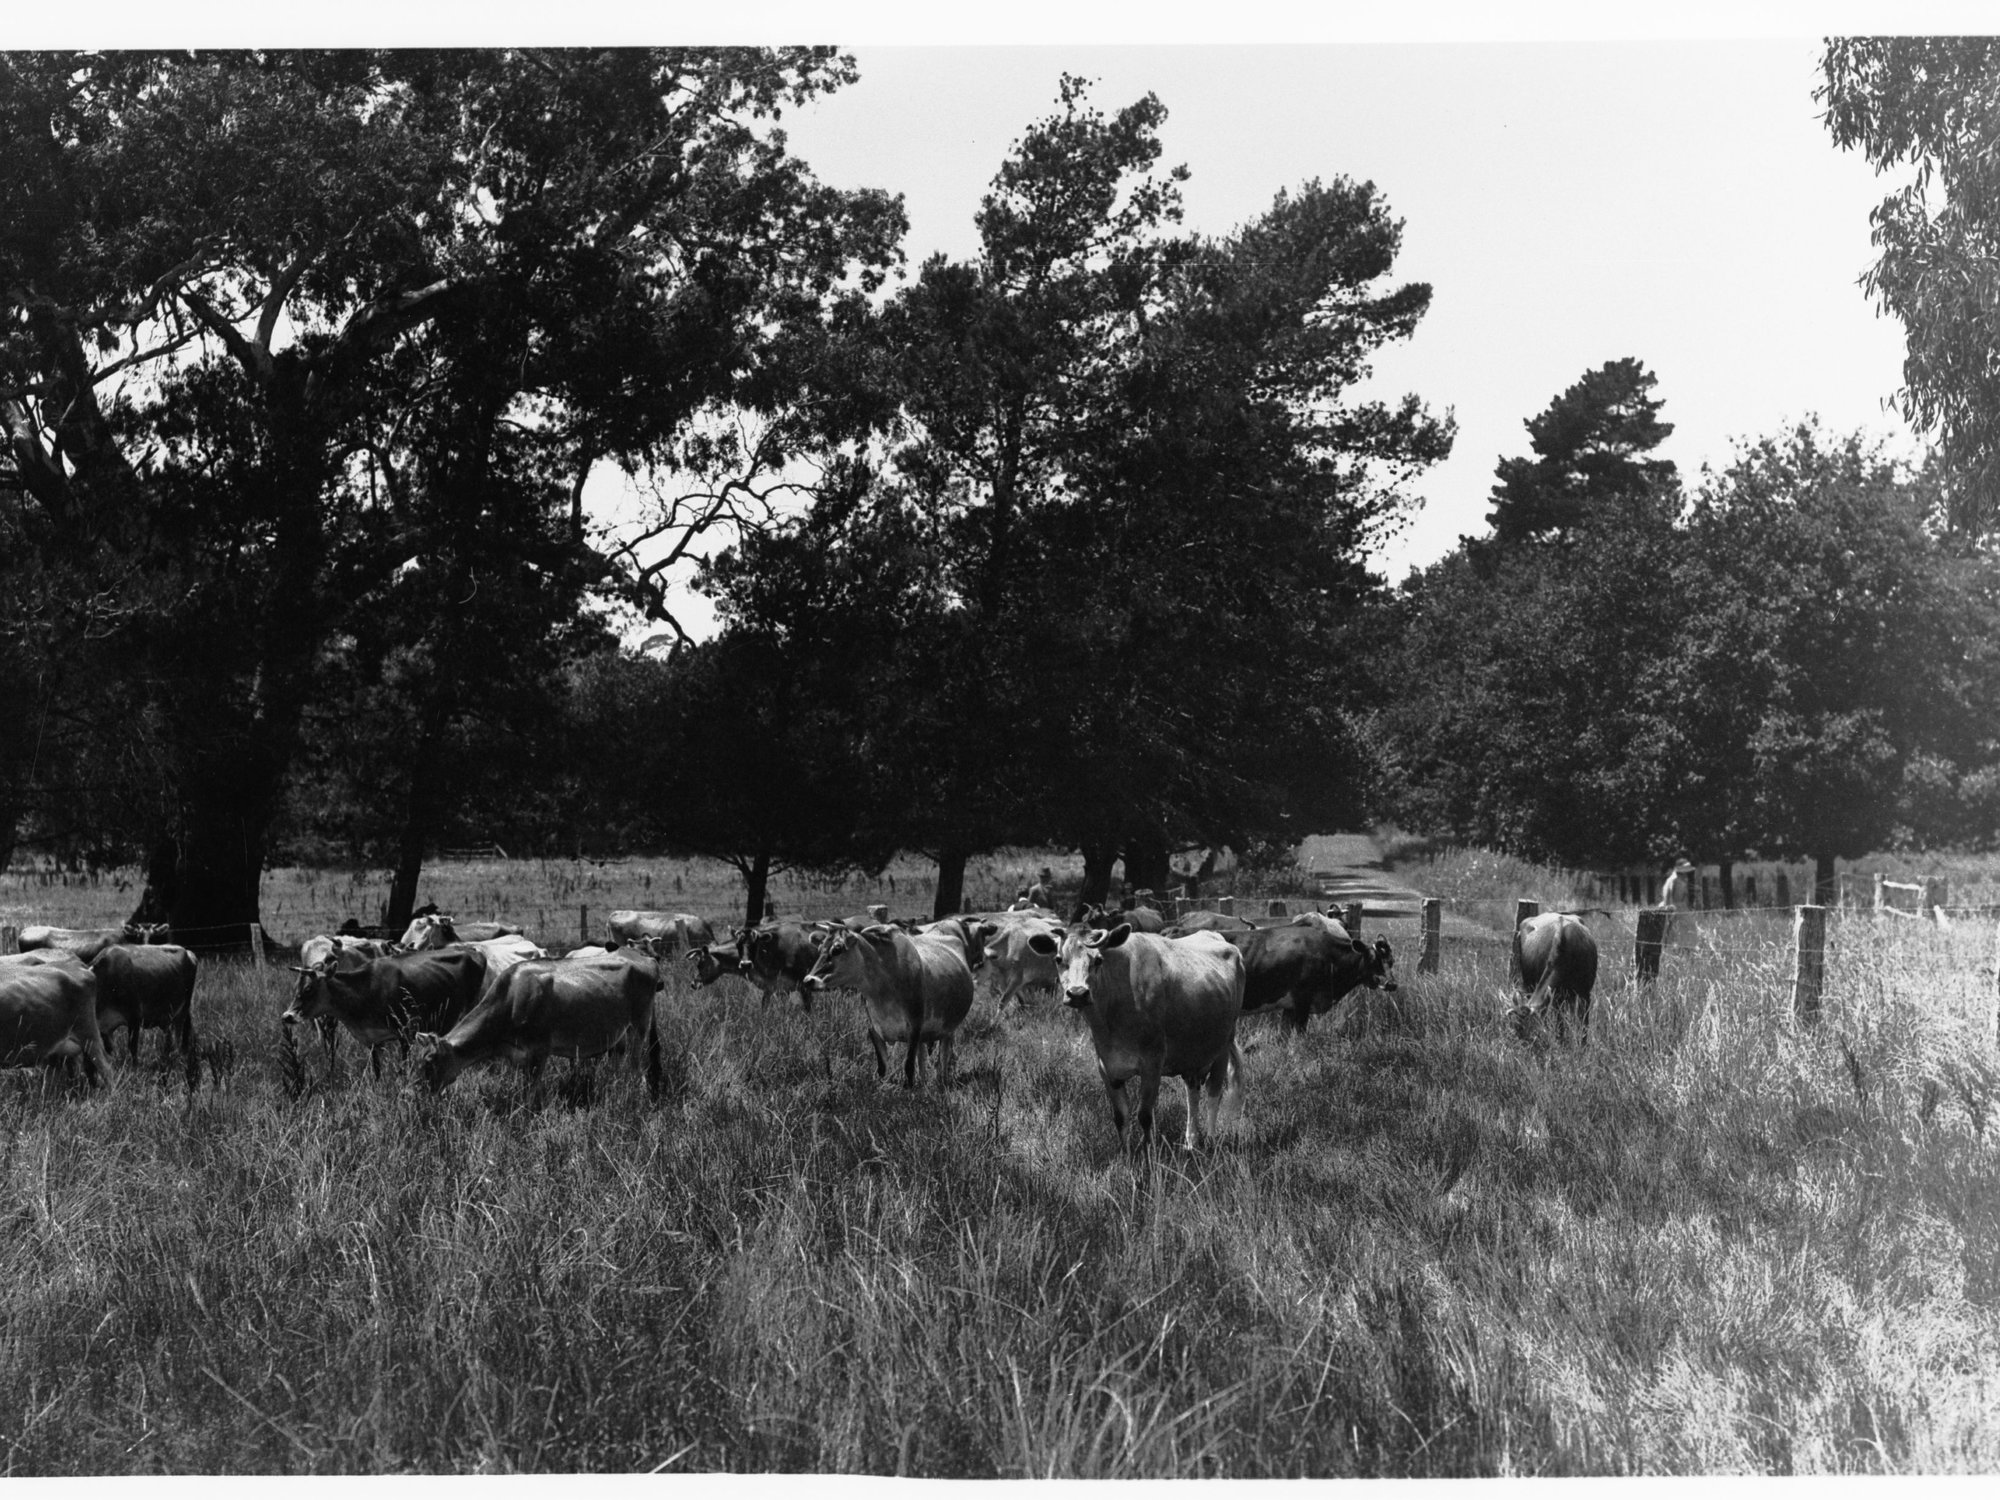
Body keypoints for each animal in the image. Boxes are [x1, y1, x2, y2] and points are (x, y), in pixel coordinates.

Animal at [284, 946, 489, 1078]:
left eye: (308, 989)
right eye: (295, 988)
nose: (287, 1016)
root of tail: (473, 950)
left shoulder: (406, 1033)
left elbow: (402, 1070)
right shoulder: (373, 1040)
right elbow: (376, 1072)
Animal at [417, 953, 662, 1101]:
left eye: (430, 1060)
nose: (421, 1094)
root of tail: (644, 958)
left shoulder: (539, 1050)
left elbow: (530, 1095)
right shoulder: (520, 1056)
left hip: (639, 1027)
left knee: (637, 1070)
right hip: (620, 1035)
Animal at [802, 923, 974, 1088]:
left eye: (837, 949)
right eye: (820, 949)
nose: (808, 980)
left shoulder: (915, 1027)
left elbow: (908, 1066)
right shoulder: (874, 1029)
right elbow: (882, 1068)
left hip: (949, 1028)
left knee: (943, 1058)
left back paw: (941, 1082)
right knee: (923, 1057)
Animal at [1031, 923, 1246, 1151]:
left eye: (1098, 960)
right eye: (1058, 959)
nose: (1078, 993)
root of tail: (1212, 934)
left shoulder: (1152, 1063)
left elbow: (1144, 1114)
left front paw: (1148, 1151)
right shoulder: (1107, 1067)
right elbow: (1120, 1116)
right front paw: (1125, 1153)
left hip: (1223, 1045)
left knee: (1214, 1094)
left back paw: (1212, 1141)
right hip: (1193, 1054)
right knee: (1193, 1093)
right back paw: (1191, 1142)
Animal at [1513, 912, 1600, 1045]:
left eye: (1525, 1025)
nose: (1520, 1042)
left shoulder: (1585, 992)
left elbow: (1583, 1025)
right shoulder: (1556, 996)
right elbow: (1560, 1025)